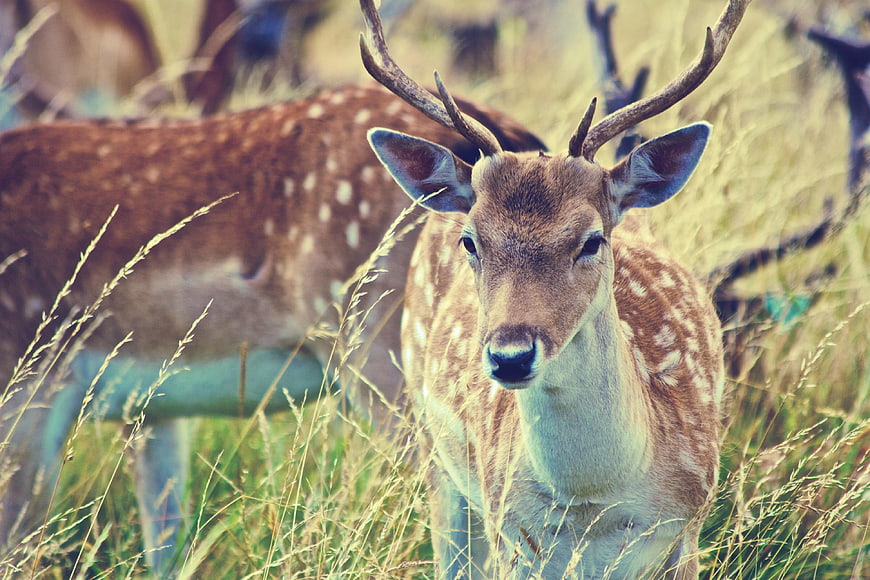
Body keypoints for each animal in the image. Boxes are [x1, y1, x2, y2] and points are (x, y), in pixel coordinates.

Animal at [361, 0, 749, 576]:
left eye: (592, 240)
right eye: (471, 240)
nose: (510, 356)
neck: (593, 503)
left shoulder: (687, 530)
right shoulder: (511, 534)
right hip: (435, 453)